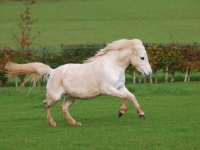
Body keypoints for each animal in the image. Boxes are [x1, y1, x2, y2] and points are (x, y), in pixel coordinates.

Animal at [5, 38, 152, 126]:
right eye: (142, 57)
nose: (149, 73)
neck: (112, 66)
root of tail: (53, 71)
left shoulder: (120, 87)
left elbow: (131, 96)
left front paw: (142, 115)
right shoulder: (108, 89)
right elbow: (125, 98)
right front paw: (121, 112)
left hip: (71, 97)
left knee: (63, 108)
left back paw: (74, 123)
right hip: (54, 96)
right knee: (45, 104)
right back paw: (52, 123)